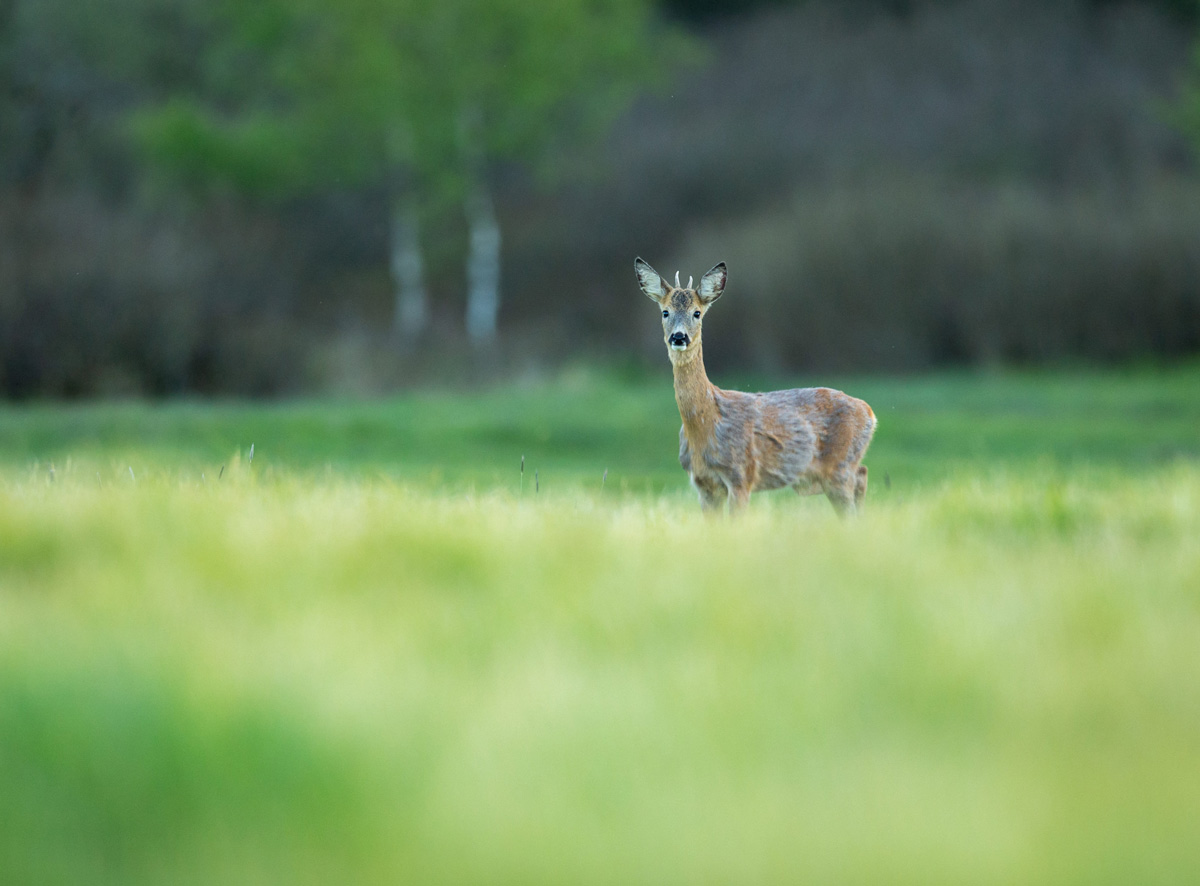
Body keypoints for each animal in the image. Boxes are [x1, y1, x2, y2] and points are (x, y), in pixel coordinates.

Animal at [633, 255, 878, 513]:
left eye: (697, 313)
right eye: (665, 312)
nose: (679, 337)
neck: (706, 423)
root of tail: (870, 412)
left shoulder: (742, 474)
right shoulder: (703, 484)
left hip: (839, 466)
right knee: (861, 477)